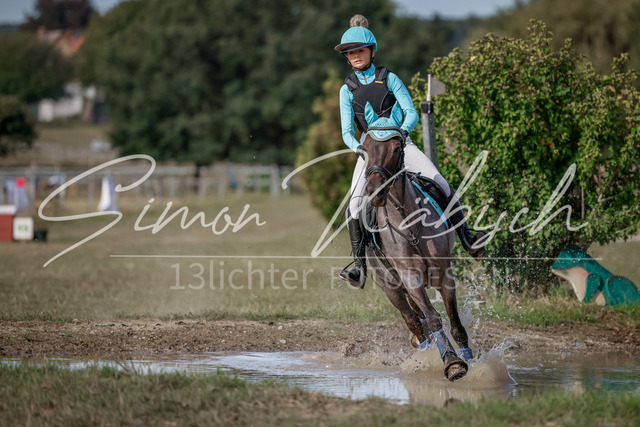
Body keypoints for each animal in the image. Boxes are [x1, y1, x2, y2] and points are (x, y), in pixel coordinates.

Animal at [355, 117, 472, 382]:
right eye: (364, 149)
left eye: (396, 148)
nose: (375, 192)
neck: (408, 222)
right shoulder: (410, 277)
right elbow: (432, 317)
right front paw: (452, 362)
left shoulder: (443, 273)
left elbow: (455, 323)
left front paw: (470, 360)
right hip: (390, 286)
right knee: (413, 320)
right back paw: (424, 350)